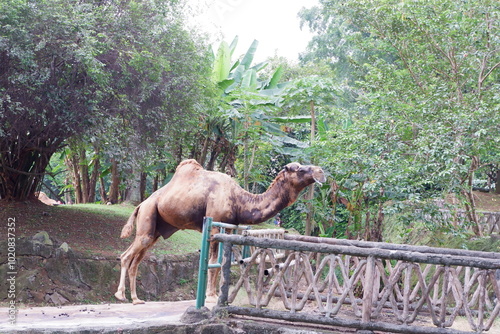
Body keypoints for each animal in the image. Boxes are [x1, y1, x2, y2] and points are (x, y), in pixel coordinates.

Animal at [114, 158, 326, 304]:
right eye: (299, 168)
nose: (321, 171)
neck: (239, 200)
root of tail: (140, 204)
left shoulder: (229, 228)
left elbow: (222, 261)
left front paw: (215, 294)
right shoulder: (215, 224)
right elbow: (213, 261)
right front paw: (210, 296)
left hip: (155, 231)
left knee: (136, 259)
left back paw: (136, 299)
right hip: (148, 216)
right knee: (126, 256)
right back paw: (120, 295)